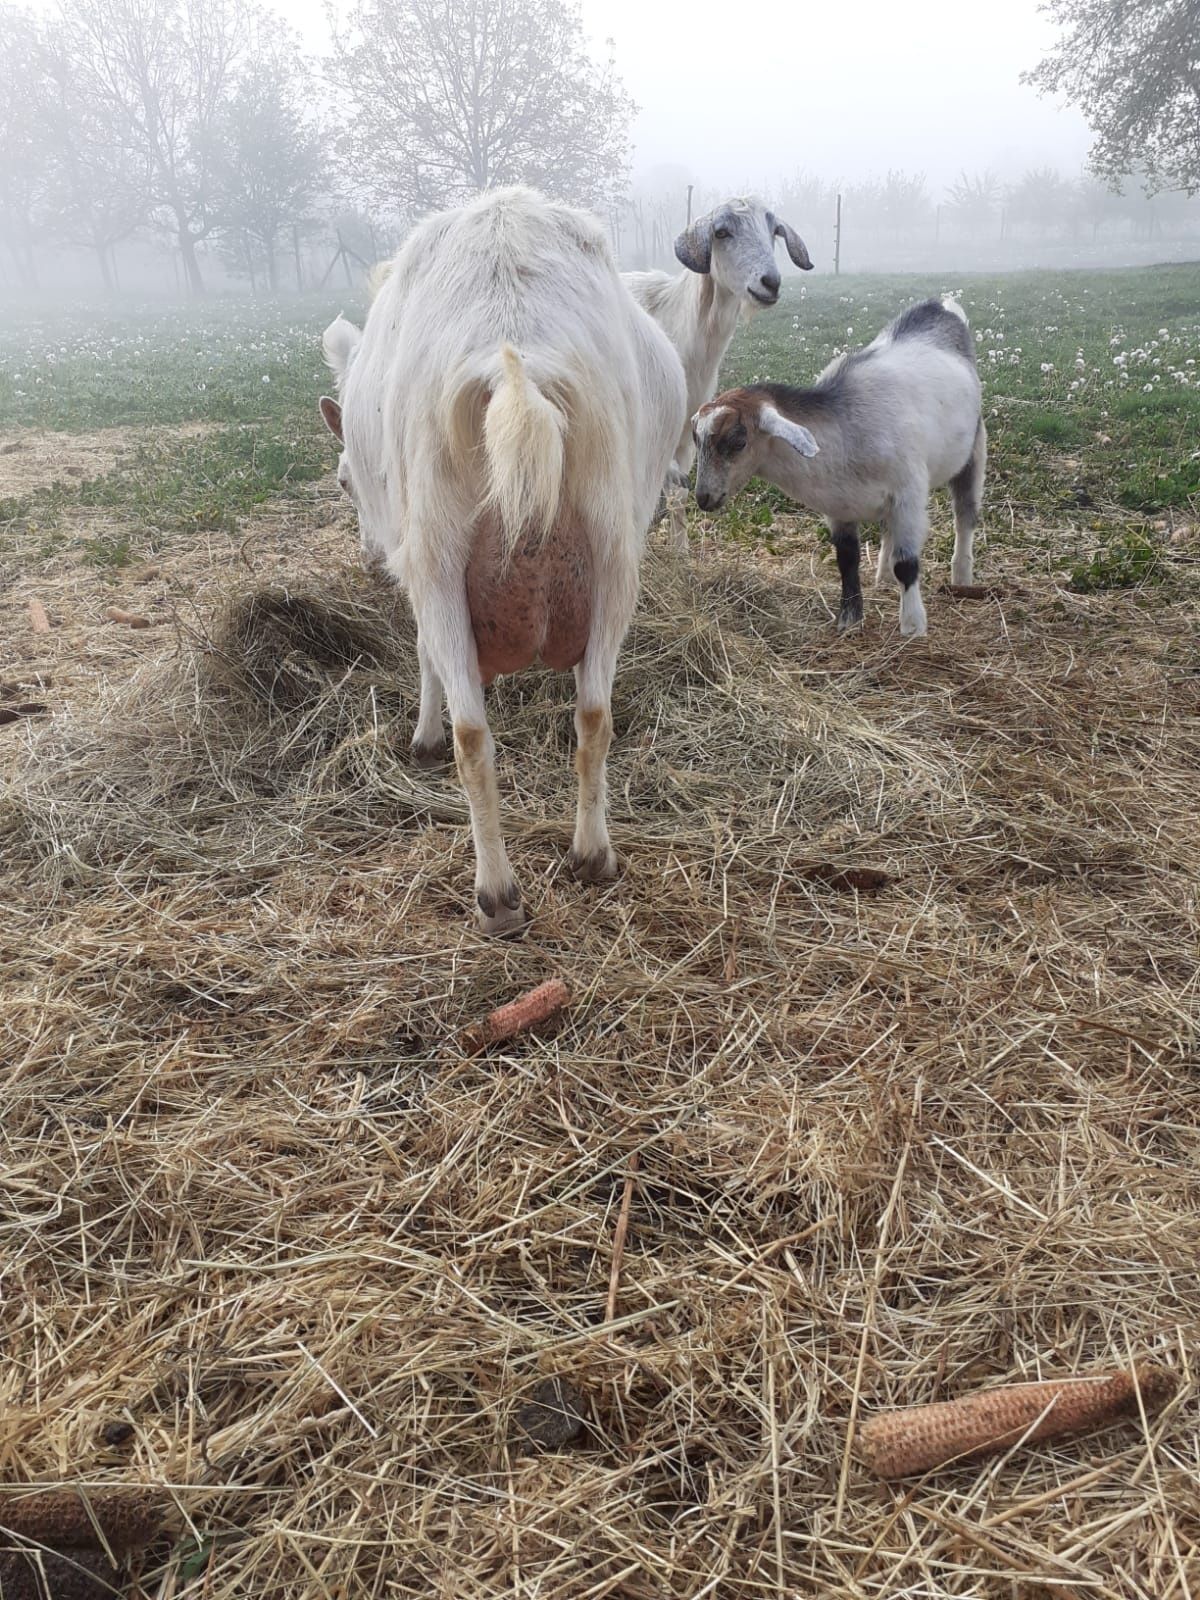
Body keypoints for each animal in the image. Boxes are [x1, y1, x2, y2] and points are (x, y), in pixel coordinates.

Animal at [316, 187, 684, 934]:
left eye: (343, 480)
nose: (367, 558)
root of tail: (514, 353)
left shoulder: (412, 554)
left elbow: (424, 654)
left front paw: (421, 737)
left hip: (437, 547)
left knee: (471, 733)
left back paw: (496, 896)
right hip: (614, 545)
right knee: (594, 717)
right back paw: (591, 856)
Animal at [624, 196, 812, 547]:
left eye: (774, 231)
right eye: (722, 232)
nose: (770, 282)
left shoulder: (684, 431)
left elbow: (678, 493)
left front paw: (680, 550)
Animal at [694, 297, 985, 633]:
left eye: (738, 442)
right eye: (696, 440)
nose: (704, 498)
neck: (847, 434)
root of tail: (939, 305)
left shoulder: (909, 497)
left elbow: (907, 564)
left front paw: (912, 626)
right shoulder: (838, 507)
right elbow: (847, 560)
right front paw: (849, 619)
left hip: (974, 450)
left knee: (965, 516)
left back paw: (961, 577)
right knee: (889, 531)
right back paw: (883, 577)